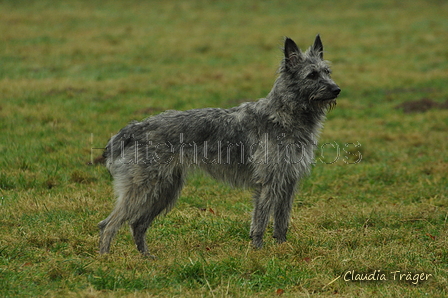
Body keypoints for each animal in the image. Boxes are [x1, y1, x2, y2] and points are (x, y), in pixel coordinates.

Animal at [100, 33, 342, 255]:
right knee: (108, 224)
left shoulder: (288, 182)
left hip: (164, 190)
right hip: (143, 189)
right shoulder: (268, 183)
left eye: (327, 72)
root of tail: (136, 127)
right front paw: (258, 251)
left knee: (136, 224)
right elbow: (261, 220)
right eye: (311, 75)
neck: (282, 115)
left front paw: (282, 249)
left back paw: (146, 259)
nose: (337, 89)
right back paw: (106, 259)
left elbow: (282, 221)